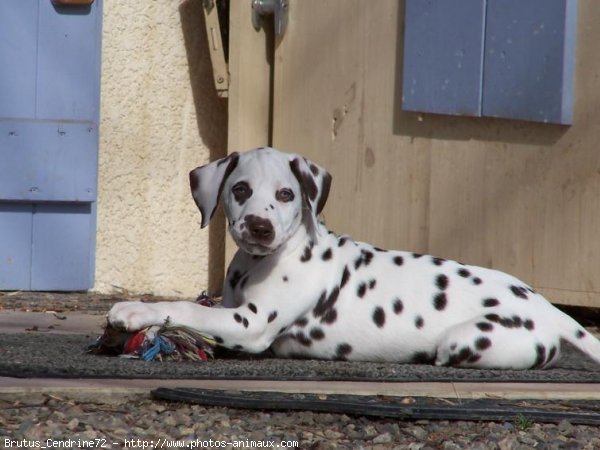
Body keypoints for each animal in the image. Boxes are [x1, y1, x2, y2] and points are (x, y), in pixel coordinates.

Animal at [108, 148, 600, 370]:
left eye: (286, 194)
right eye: (240, 189)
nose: (260, 228)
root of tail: (548, 309)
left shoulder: (250, 324)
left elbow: (187, 308)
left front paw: (134, 312)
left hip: (463, 340)